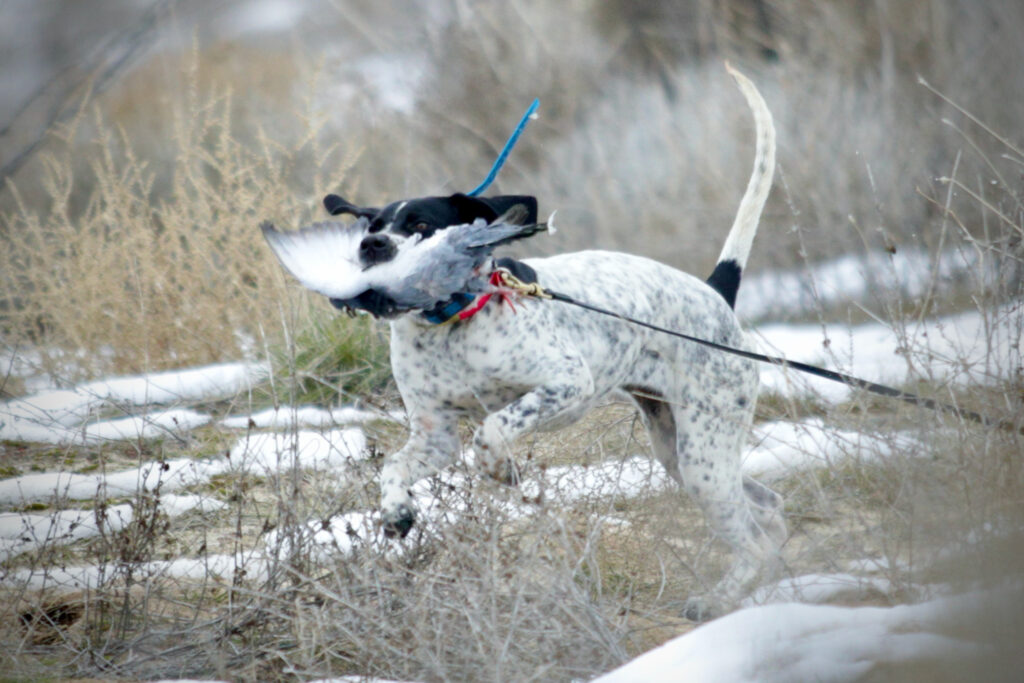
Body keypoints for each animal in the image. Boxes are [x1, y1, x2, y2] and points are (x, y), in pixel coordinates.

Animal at [284, 65, 778, 618]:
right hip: (681, 452)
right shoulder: (435, 434)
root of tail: (714, 292)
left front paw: (500, 468)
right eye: (371, 224)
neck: (451, 325)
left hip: (703, 457)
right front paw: (396, 511)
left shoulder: (566, 384)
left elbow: (494, 426)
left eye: (421, 223)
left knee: (754, 539)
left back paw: (722, 598)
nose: (372, 245)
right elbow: (392, 466)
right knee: (767, 508)